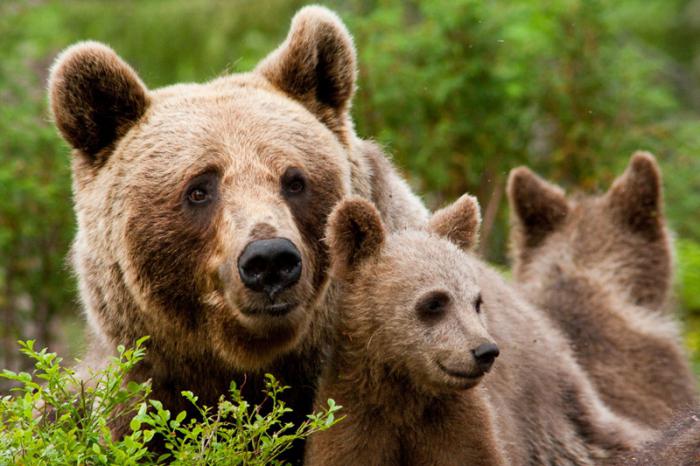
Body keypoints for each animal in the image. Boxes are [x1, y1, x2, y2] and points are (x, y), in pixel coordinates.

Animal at [306, 195, 652, 464]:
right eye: (434, 302)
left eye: (476, 301)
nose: (485, 351)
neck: (403, 392)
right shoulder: (357, 422)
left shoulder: (455, 427)